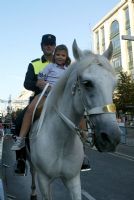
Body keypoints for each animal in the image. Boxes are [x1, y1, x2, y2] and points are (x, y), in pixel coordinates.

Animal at [28, 39, 121, 199]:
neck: (61, 142)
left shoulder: (73, 180)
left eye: (114, 85)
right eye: (87, 83)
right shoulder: (44, 181)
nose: (111, 138)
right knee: (32, 172)